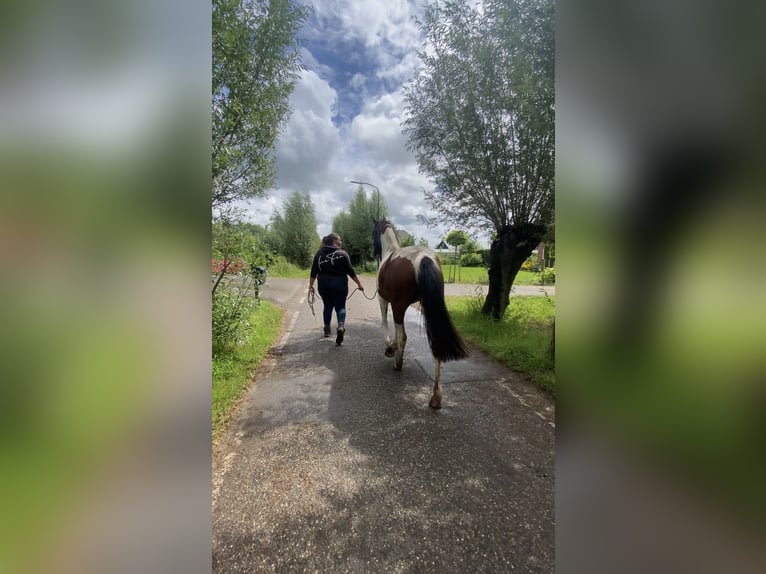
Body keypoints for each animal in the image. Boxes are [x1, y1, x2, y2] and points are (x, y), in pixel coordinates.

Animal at [372, 216, 468, 410]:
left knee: (404, 337)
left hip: (399, 306)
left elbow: (386, 324)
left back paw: (398, 364)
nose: (373, 252)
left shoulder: (384, 300)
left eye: (372, 232)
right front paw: (393, 347)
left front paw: (390, 348)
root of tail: (424, 258)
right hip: (430, 309)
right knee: (437, 343)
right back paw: (436, 397)